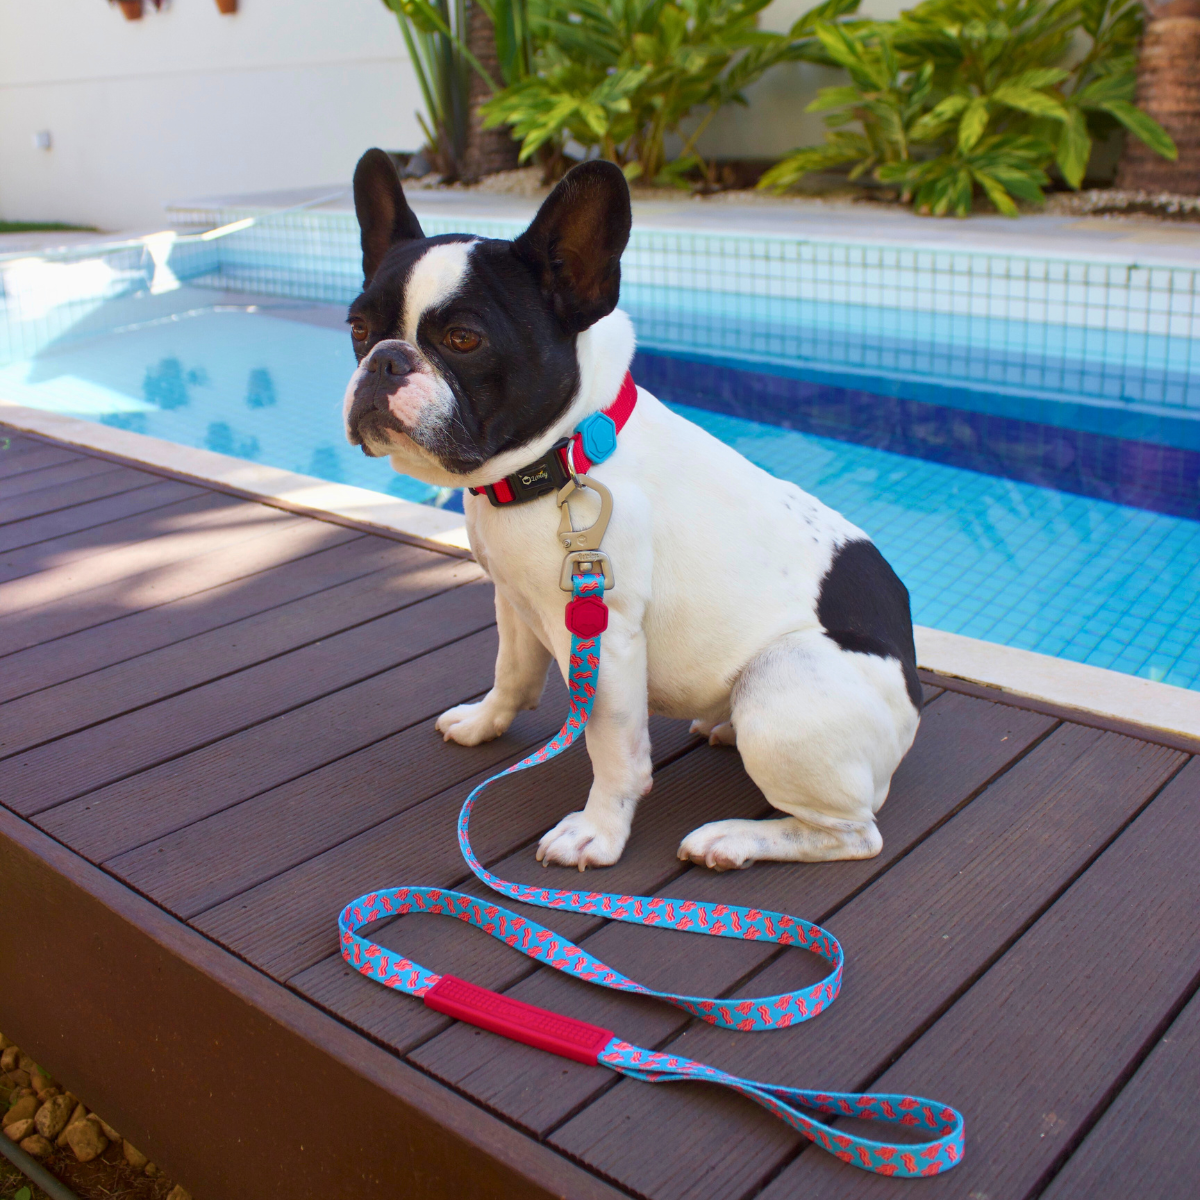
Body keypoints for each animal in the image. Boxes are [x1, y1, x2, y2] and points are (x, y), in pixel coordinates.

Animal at [343, 150, 921, 873]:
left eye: (463, 339)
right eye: (357, 329)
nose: (385, 361)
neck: (564, 458)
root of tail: (912, 698)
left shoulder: (605, 635)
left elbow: (611, 748)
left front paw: (598, 831)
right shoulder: (515, 601)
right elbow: (511, 672)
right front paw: (484, 722)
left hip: (784, 681)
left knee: (853, 833)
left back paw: (734, 839)